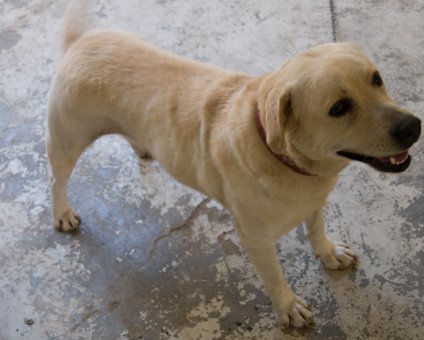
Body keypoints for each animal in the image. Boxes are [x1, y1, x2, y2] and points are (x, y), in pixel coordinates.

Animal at [46, 0, 420, 330]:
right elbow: (275, 276)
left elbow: (316, 229)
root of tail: (80, 41)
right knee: (57, 181)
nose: (413, 127)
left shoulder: (314, 203)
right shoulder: (255, 240)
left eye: (376, 79)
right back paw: (62, 212)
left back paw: (141, 146)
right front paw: (287, 306)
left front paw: (327, 252)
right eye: (339, 108)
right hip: (66, 141)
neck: (277, 153)